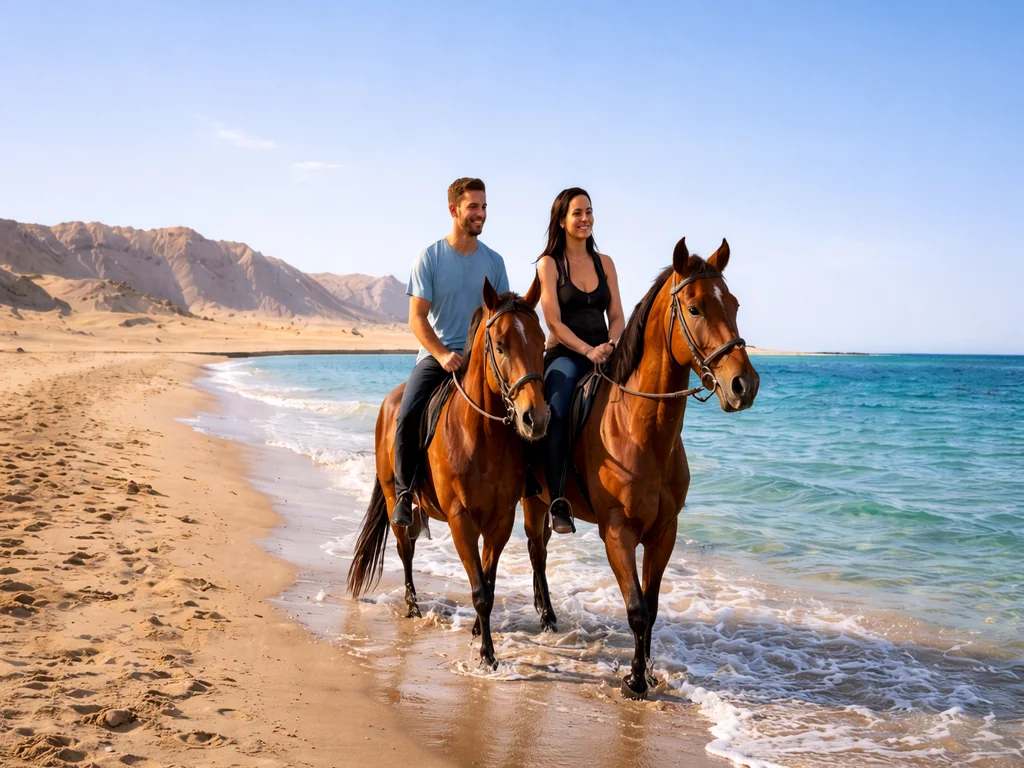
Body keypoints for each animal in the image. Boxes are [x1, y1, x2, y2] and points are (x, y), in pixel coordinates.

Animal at [348, 277, 549, 668]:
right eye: (500, 346)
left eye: (543, 343)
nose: (535, 417)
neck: (482, 435)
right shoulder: (461, 519)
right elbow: (480, 591)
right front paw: (487, 655)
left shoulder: (501, 519)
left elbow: (489, 582)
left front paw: (479, 634)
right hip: (396, 499)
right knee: (405, 550)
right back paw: (412, 605)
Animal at [522, 237, 759, 699]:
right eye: (694, 307)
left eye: (735, 303)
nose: (745, 384)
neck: (639, 429)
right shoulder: (617, 531)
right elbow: (635, 608)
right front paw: (634, 681)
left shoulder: (664, 532)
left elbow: (651, 606)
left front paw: (647, 672)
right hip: (531, 500)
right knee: (536, 549)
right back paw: (546, 617)